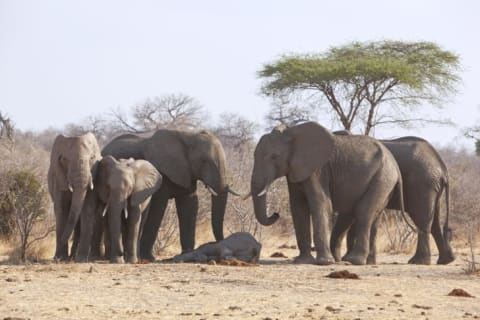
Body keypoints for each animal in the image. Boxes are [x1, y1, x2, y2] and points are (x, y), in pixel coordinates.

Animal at [47, 131, 101, 262]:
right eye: (64, 159)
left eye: (92, 158)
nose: (54, 258)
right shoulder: (58, 177)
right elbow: (62, 209)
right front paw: (60, 258)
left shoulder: (93, 176)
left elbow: (87, 209)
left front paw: (81, 259)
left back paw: (74, 256)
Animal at [99, 129, 238, 262]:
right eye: (204, 161)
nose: (218, 242)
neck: (188, 136)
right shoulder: (161, 172)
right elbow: (158, 207)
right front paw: (148, 258)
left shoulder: (186, 172)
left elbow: (189, 205)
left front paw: (187, 253)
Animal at [249, 122, 404, 264]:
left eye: (274, 157)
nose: (276, 213)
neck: (291, 133)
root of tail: (395, 164)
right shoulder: (296, 169)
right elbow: (298, 208)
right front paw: (302, 261)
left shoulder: (318, 170)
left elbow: (321, 203)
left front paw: (324, 262)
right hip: (384, 182)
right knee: (374, 217)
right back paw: (369, 262)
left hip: (382, 178)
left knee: (363, 212)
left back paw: (355, 261)